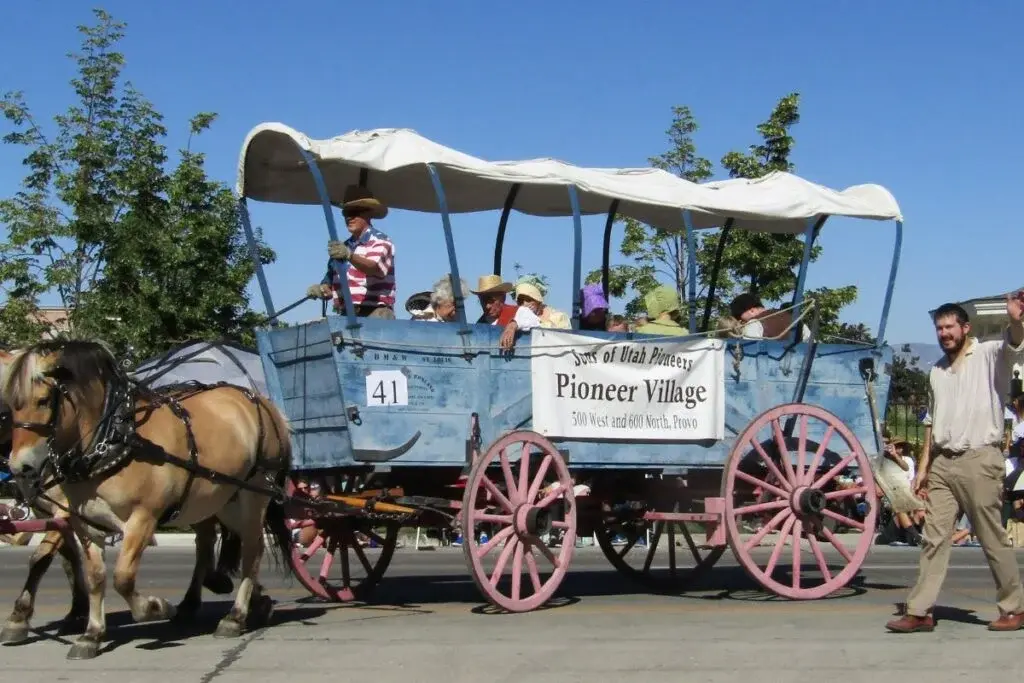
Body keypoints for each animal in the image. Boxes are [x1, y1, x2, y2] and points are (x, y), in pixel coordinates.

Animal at [1, 339, 296, 659]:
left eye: (43, 400)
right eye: (11, 404)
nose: (20, 467)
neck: (114, 439)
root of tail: (262, 402)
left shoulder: (141, 518)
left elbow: (121, 577)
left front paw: (155, 607)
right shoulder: (85, 523)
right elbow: (94, 576)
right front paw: (91, 633)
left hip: (254, 492)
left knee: (252, 550)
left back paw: (235, 616)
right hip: (216, 499)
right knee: (215, 544)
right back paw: (233, 600)